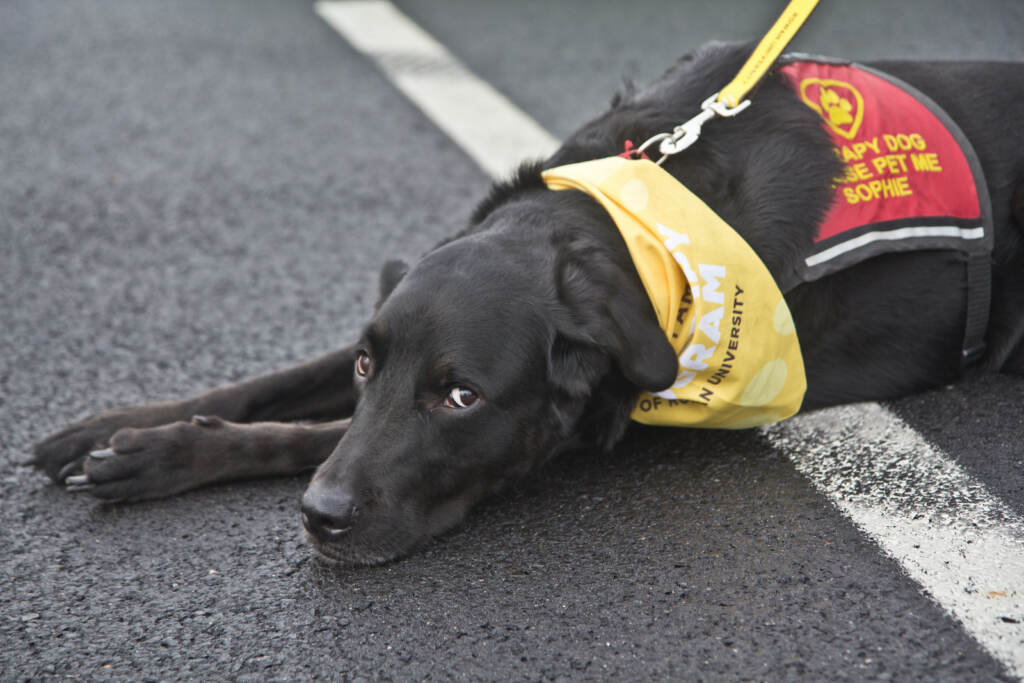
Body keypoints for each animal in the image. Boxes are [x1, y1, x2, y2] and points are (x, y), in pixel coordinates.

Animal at [29, 44, 1024, 565]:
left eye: (460, 397)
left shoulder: (598, 421)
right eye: (368, 362)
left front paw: (159, 455)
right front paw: (118, 426)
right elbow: (277, 386)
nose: (321, 518)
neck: (627, 228)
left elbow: (314, 434)